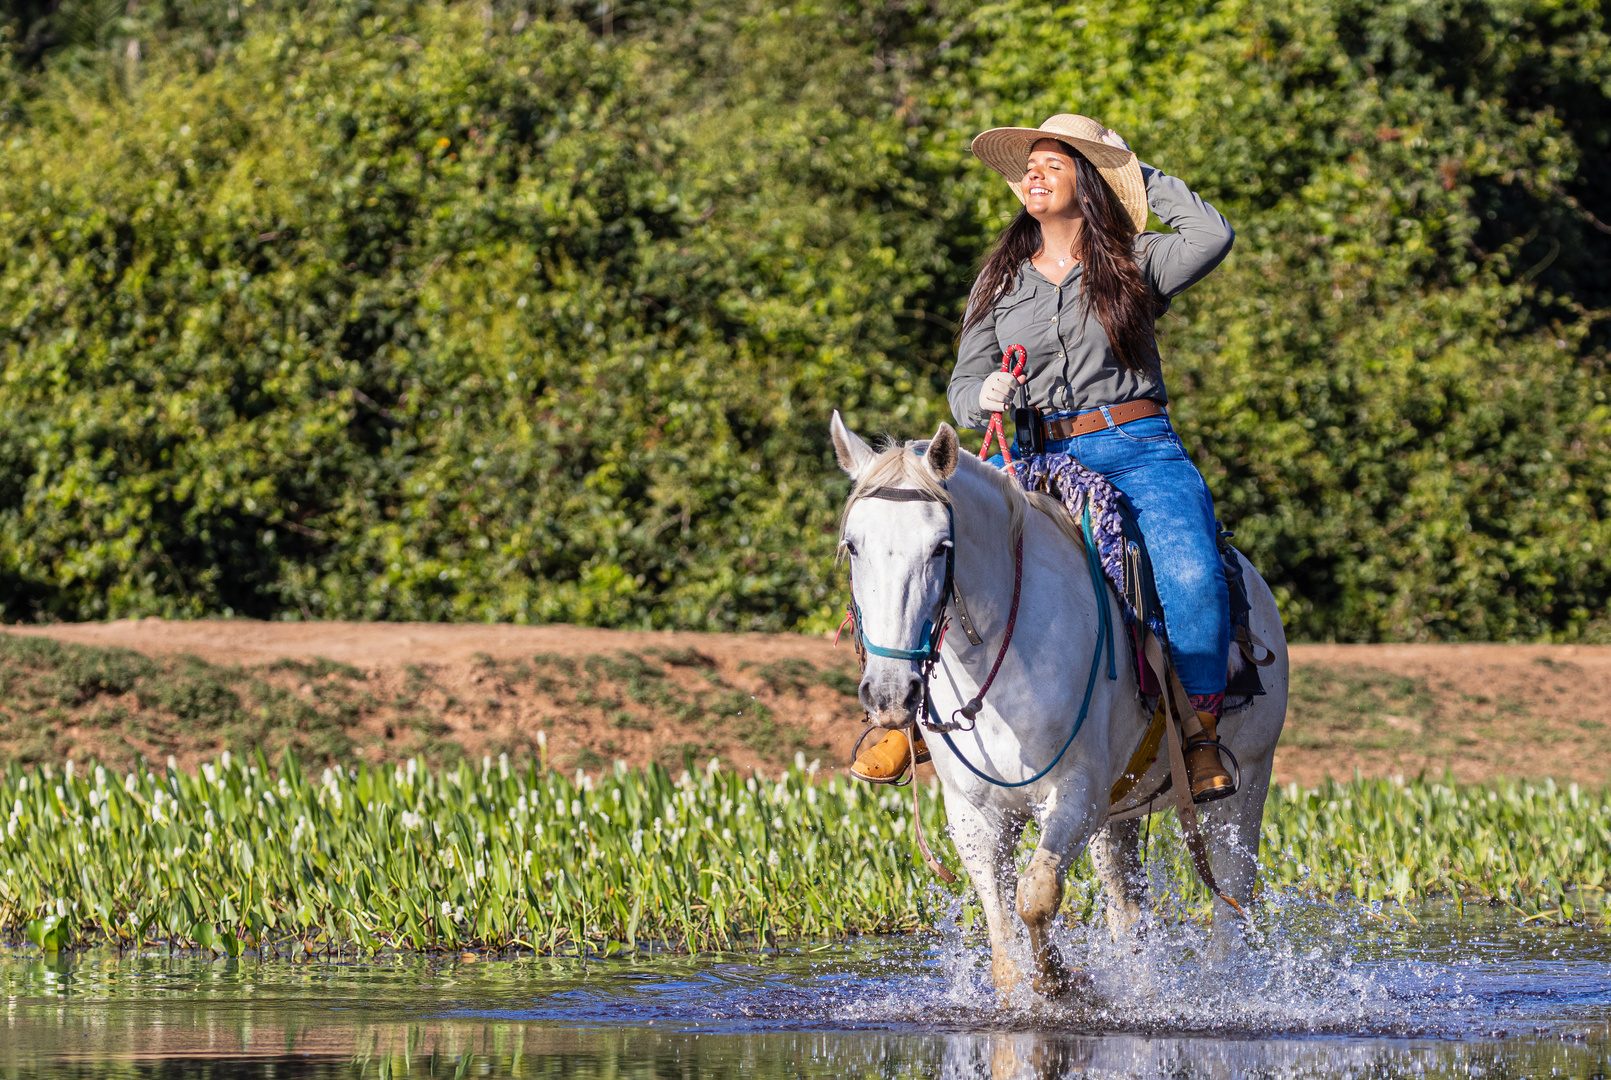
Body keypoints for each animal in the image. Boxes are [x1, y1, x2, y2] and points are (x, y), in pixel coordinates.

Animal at [837, 412, 1288, 999]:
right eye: (852, 546)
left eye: (940, 547)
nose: (890, 693)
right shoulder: (975, 815)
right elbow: (1004, 933)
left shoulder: (1078, 792)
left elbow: (1038, 893)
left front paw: (1061, 983)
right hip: (1120, 815)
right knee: (1127, 909)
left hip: (1244, 789)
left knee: (1230, 906)